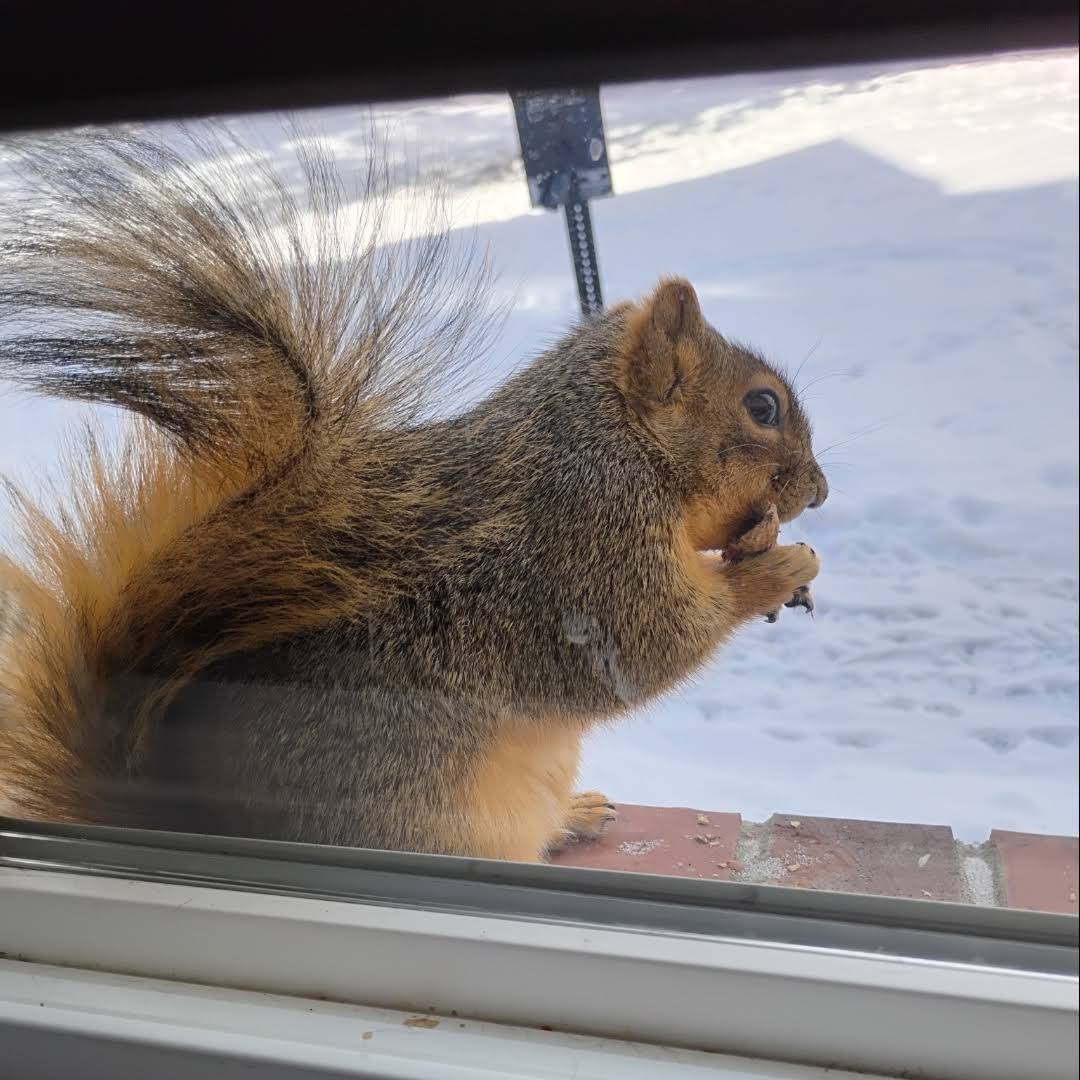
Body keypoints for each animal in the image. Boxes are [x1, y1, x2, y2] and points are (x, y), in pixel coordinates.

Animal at [0, 129, 827, 861]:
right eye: (762, 406)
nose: (818, 491)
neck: (611, 440)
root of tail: (198, 822)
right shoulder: (583, 548)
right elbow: (641, 645)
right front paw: (777, 568)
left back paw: (573, 815)